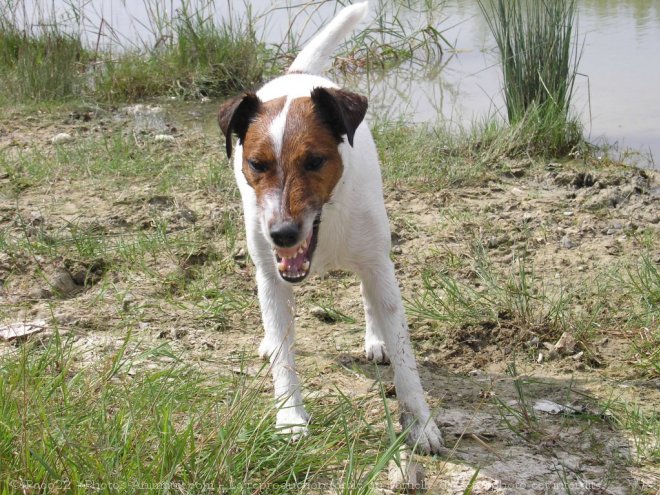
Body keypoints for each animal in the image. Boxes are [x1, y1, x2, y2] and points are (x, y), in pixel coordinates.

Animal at [218, 1, 444, 456]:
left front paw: (419, 421)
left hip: (375, 253)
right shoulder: (272, 275)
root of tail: (297, 74)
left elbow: (404, 354)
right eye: (256, 164)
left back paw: (375, 338)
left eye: (315, 161)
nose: (283, 234)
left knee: (369, 294)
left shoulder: (379, 265)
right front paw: (289, 416)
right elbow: (284, 354)